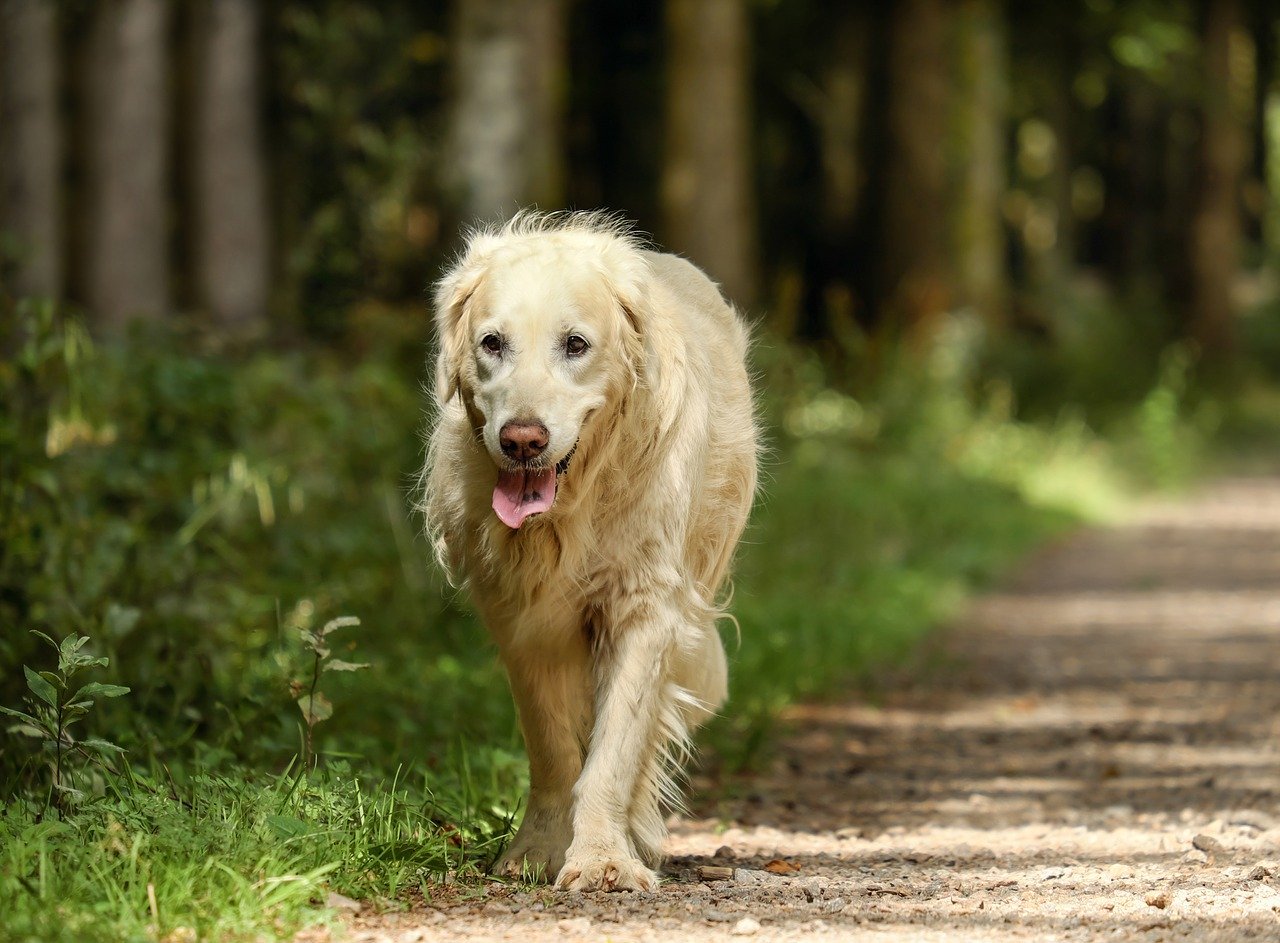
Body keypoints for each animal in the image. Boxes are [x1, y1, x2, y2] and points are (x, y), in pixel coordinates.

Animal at [419, 211, 757, 890]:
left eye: (575, 345)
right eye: (492, 343)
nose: (522, 440)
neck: (570, 510)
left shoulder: (645, 607)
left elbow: (615, 747)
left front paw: (603, 857)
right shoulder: (521, 619)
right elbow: (552, 747)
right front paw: (539, 850)